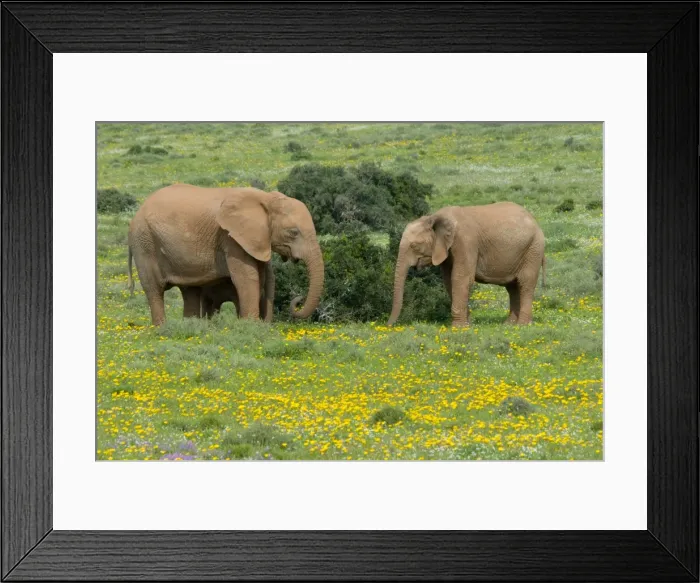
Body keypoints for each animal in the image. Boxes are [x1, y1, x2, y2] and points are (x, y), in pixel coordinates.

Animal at [127, 184, 323, 326]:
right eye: (293, 232)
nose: (298, 299)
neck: (266, 199)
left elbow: (259, 276)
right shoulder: (231, 238)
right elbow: (247, 278)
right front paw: (250, 327)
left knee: (189, 291)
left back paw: (192, 326)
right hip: (144, 243)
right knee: (154, 289)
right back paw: (162, 329)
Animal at [388, 202, 546, 327]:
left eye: (414, 245)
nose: (388, 325)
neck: (435, 217)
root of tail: (536, 222)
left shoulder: (465, 242)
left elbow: (460, 278)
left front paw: (459, 328)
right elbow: (449, 281)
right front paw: (467, 324)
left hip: (533, 249)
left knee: (525, 283)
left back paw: (522, 325)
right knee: (512, 287)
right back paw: (509, 325)